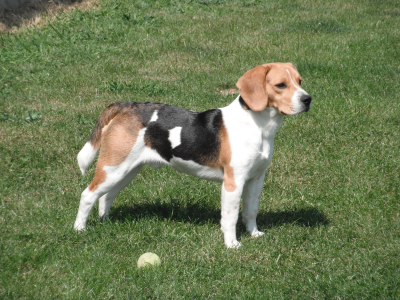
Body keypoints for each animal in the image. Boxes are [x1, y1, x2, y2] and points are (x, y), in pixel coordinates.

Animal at [75, 62, 312, 247]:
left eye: (300, 81)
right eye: (281, 85)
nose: (308, 99)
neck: (258, 125)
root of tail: (126, 106)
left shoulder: (256, 179)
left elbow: (250, 210)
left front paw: (254, 234)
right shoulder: (233, 182)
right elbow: (231, 217)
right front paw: (232, 244)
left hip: (126, 171)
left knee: (106, 196)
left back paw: (105, 221)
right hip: (113, 168)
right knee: (88, 195)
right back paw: (79, 229)